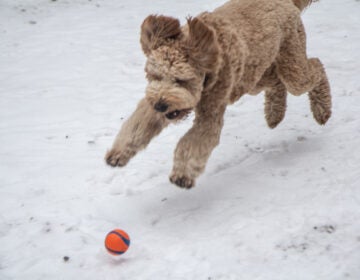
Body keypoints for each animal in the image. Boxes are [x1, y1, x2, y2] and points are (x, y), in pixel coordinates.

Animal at [105, 0, 332, 189]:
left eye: (181, 80)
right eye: (155, 76)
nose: (161, 105)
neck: (209, 61)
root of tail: (286, 2)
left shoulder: (211, 109)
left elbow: (193, 141)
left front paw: (182, 175)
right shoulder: (154, 101)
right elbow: (138, 124)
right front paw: (118, 153)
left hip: (290, 65)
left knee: (316, 66)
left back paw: (322, 111)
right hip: (256, 74)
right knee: (276, 82)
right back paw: (274, 114)